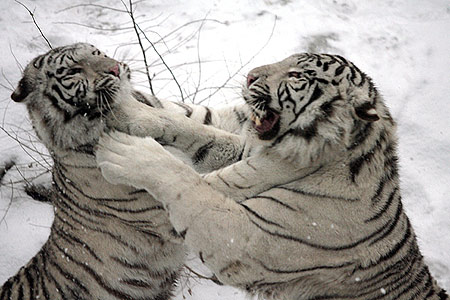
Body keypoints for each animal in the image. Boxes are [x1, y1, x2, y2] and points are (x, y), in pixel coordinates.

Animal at [0, 42, 250, 300]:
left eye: (96, 53)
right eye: (74, 71)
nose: (115, 69)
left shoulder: (203, 117)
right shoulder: (166, 214)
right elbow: (202, 184)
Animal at [96, 52, 448, 298]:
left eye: (296, 75)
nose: (250, 76)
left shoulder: (246, 239)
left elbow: (189, 186)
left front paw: (126, 152)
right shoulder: (247, 152)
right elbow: (196, 130)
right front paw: (130, 110)